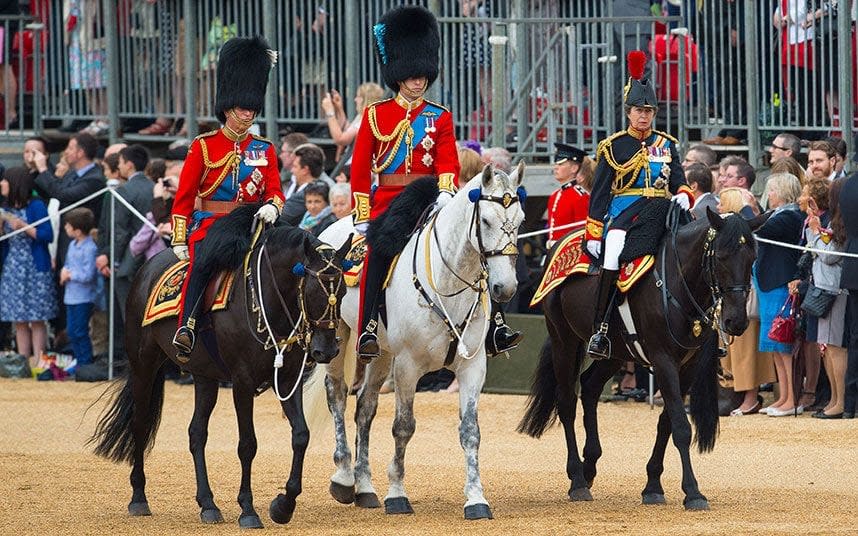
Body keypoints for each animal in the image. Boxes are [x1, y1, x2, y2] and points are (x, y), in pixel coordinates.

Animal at [89, 207, 348, 528]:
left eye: (344, 291)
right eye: (312, 290)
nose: (327, 349)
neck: (268, 300)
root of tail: (147, 267)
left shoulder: (288, 380)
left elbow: (301, 435)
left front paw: (283, 505)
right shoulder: (242, 382)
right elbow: (247, 444)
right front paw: (248, 509)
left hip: (205, 376)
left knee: (196, 433)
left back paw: (208, 504)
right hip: (143, 364)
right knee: (139, 423)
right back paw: (139, 497)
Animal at [308, 164, 520, 520]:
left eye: (519, 221)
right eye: (487, 221)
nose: (505, 288)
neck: (448, 285)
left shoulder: (473, 367)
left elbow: (470, 432)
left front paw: (476, 498)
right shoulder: (408, 366)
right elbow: (403, 427)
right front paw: (397, 494)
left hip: (380, 353)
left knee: (365, 407)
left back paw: (365, 487)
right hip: (338, 337)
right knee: (337, 396)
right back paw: (344, 477)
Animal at [520, 208, 764, 510]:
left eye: (752, 258)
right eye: (720, 256)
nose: (736, 322)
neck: (677, 282)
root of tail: (559, 242)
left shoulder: (687, 366)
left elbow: (667, 423)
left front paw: (653, 485)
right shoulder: (663, 360)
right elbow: (681, 427)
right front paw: (693, 492)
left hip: (615, 351)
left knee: (589, 387)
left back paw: (590, 466)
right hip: (563, 340)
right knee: (566, 402)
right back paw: (577, 479)